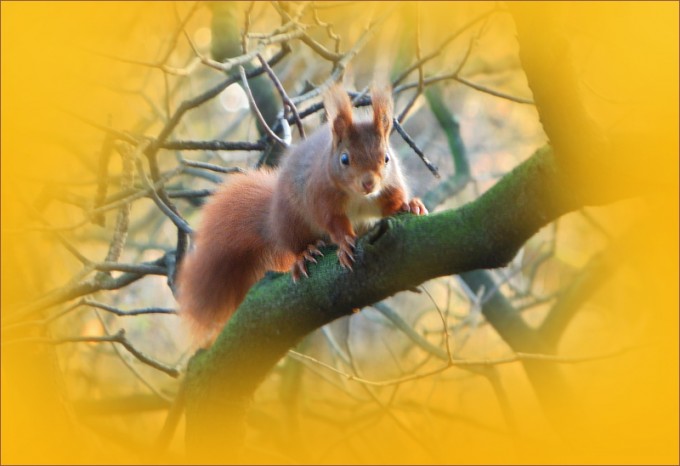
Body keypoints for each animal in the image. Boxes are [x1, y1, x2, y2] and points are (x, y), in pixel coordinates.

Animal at [177, 85, 428, 347]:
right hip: (292, 222)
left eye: (387, 158)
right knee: (296, 244)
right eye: (344, 159)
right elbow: (333, 223)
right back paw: (305, 253)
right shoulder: (321, 198)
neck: (358, 196)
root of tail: (272, 220)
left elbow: (393, 203)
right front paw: (345, 243)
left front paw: (411, 205)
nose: (369, 183)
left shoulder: (388, 189)